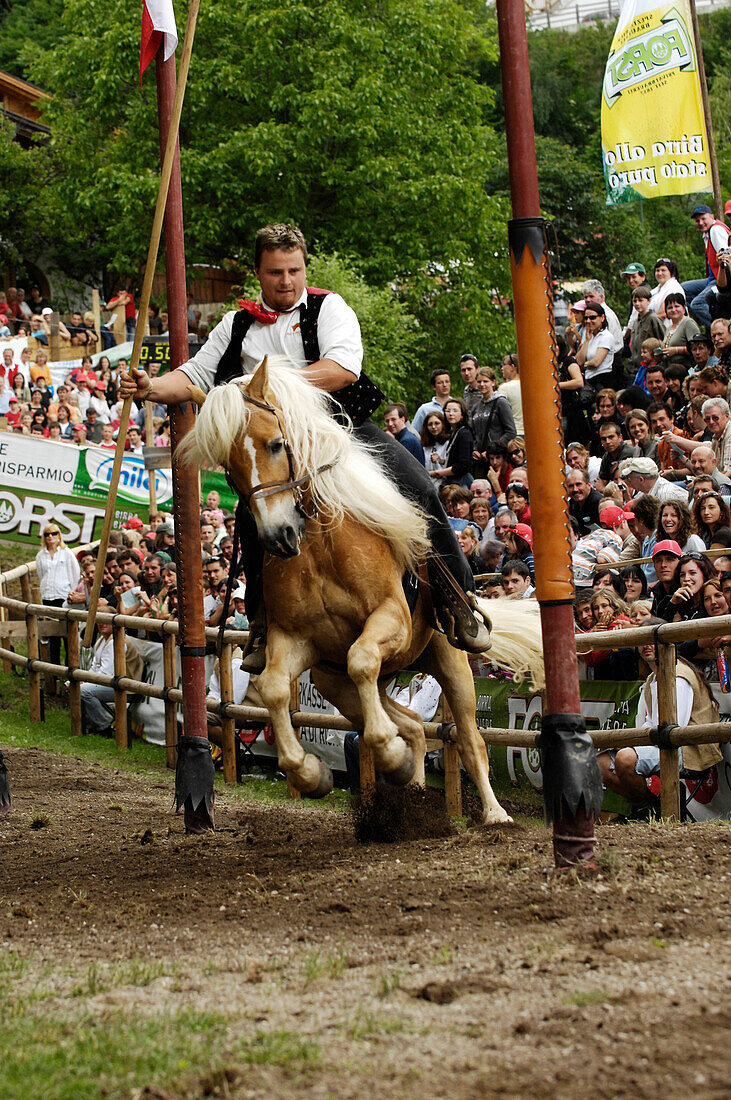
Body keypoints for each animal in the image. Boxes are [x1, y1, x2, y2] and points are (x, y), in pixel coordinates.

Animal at [181, 360, 540, 827]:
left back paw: (494, 813)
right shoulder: (295, 640)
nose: (279, 536)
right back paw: (411, 786)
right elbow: (276, 687)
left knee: (470, 739)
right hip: (340, 684)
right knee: (411, 724)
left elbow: (362, 658)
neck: (320, 547)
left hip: (450, 661)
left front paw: (385, 751)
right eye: (229, 466)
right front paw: (311, 773)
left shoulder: (390, 619)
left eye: (277, 444)